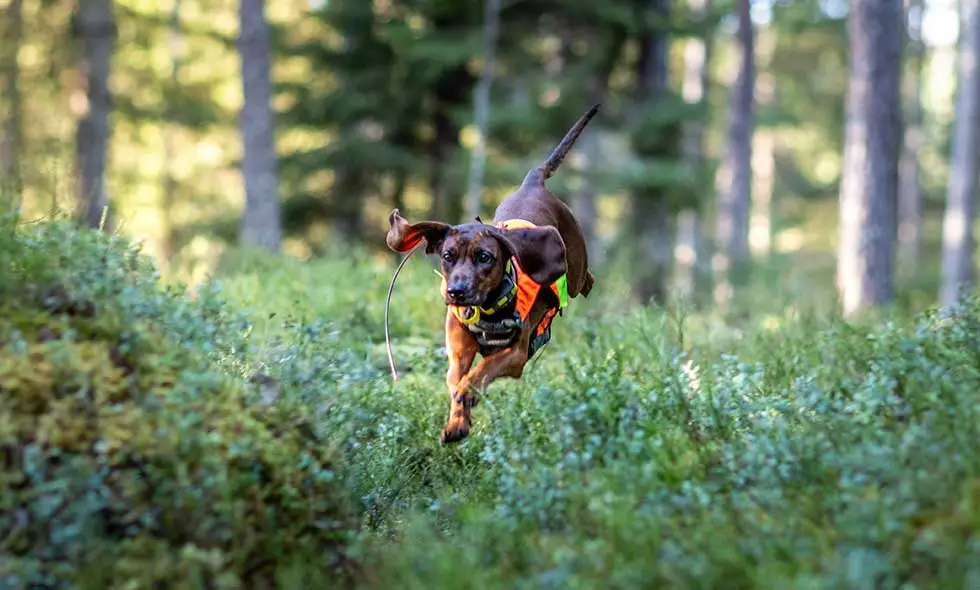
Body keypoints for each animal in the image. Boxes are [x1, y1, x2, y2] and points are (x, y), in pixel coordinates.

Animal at [382, 105, 596, 444]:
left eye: (484, 257)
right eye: (447, 256)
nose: (456, 292)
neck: (485, 309)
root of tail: (532, 184)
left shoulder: (516, 355)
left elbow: (480, 372)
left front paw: (468, 394)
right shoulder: (458, 353)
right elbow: (458, 379)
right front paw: (458, 422)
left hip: (573, 265)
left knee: (583, 279)